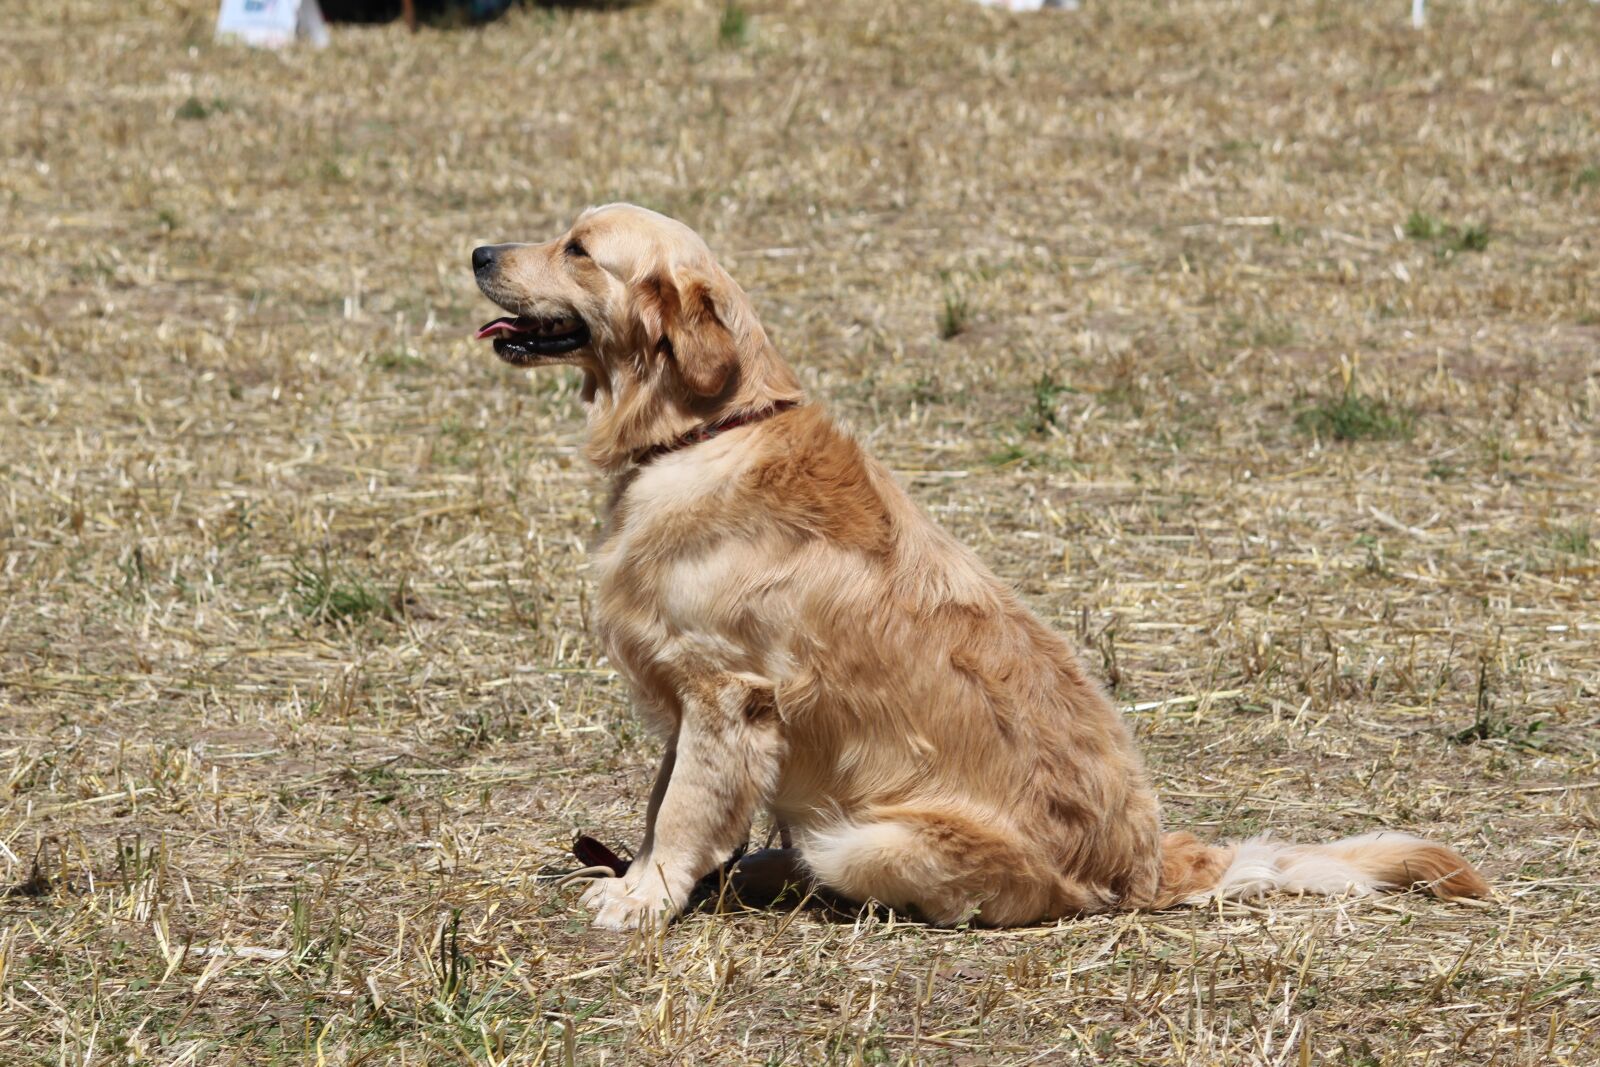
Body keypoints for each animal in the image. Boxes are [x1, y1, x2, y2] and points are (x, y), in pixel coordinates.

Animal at [467, 204, 1484, 927]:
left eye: (578, 248)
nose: (477, 251)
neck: (705, 429)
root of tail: (1150, 861)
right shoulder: (689, 698)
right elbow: (659, 803)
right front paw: (647, 876)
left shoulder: (726, 694)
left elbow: (680, 811)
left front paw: (643, 895)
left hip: (867, 837)